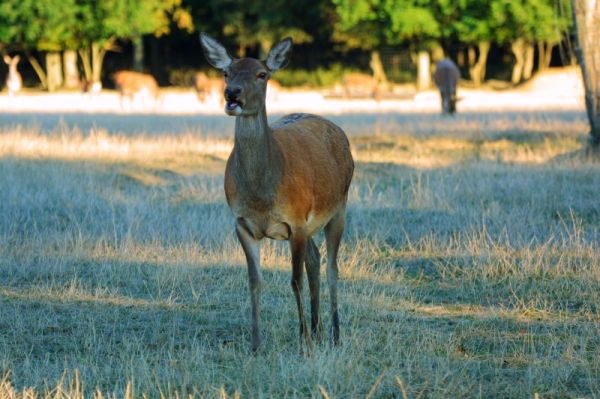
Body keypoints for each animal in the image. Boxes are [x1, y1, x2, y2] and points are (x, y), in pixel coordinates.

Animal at [199, 32, 354, 354]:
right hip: (311, 225)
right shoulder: (242, 223)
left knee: (332, 267)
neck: (261, 196)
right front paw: (256, 344)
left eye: (262, 74)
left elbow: (295, 281)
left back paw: (334, 335)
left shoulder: (295, 219)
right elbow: (254, 281)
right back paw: (319, 330)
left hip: (339, 206)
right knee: (315, 258)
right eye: (226, 72)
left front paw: (303, 344)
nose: (232, 94)